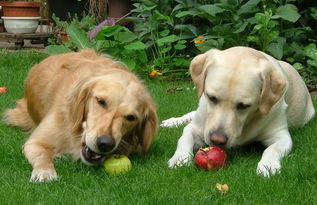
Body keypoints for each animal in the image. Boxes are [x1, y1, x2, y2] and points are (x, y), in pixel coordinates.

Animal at [4, 49, 157, 183]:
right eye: (101, 101)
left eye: (131, 117)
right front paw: (45, 172)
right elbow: (42, 155)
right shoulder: (34, 142)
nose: (105, 144)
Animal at [162, 46, 314, 176]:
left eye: (243, 105)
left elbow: (272, 149)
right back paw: (172, 121)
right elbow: (184, 138)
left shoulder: (281, 136)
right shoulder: (196, 127)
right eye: (212, 98)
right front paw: (179, 159)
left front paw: (268, 165)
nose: (217, 140)